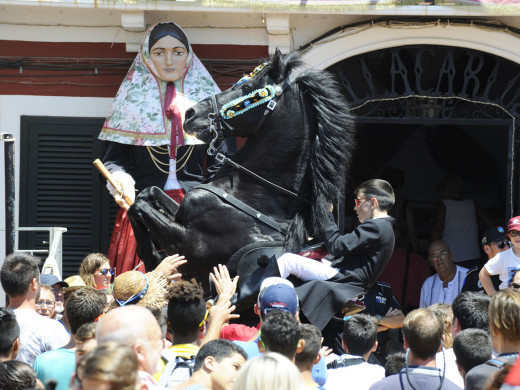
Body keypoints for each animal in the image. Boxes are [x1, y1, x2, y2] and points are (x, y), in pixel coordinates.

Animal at [128, 50, 356, 284]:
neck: (256, 192)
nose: (190, 113)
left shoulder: (188, 248)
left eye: (247, 88)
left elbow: (139, 207)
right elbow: (146, 194)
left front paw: (153, 258)